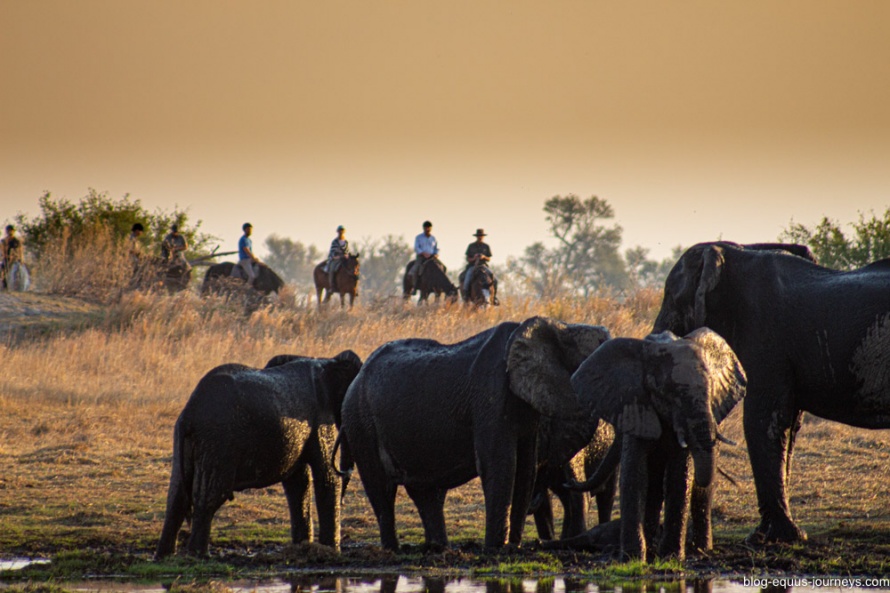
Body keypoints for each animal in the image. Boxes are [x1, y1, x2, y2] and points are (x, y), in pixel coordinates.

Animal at [154, 350, 362, 556]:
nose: (344, 501)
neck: (328, 361)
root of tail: (189, 414)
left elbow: (297, 482)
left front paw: (302, 547)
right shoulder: (320, 419)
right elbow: (327, 476)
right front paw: (331, 551)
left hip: (188, 441)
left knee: (177, 497)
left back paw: (165, 556)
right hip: (218, 441)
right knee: (210, 496)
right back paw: (200, 555)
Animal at [340, 316, 612, 548]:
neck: (563, 328)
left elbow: (525, 466)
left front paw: (513, 547)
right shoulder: (490, 394)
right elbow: (500, 463)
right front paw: (496, 548)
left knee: (427, 493)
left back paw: (439, 549)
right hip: (360, 422)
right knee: (382, 488)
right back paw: (393, 550)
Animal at [564, 326, 744, 560]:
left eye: (711, 389)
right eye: (666, 394)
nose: (568, 482)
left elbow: (679, 477)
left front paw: (672, 557)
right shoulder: (637, 405)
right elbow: (637, 476)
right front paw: (633, 558)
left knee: (697, 490)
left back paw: (699, 550)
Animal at [648, 239, 888, 540]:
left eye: (670, 297)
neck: (737, 252)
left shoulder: (765, 339)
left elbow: (762, 421)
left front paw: (769, 539)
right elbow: (788, 426)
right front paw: (777, 536)